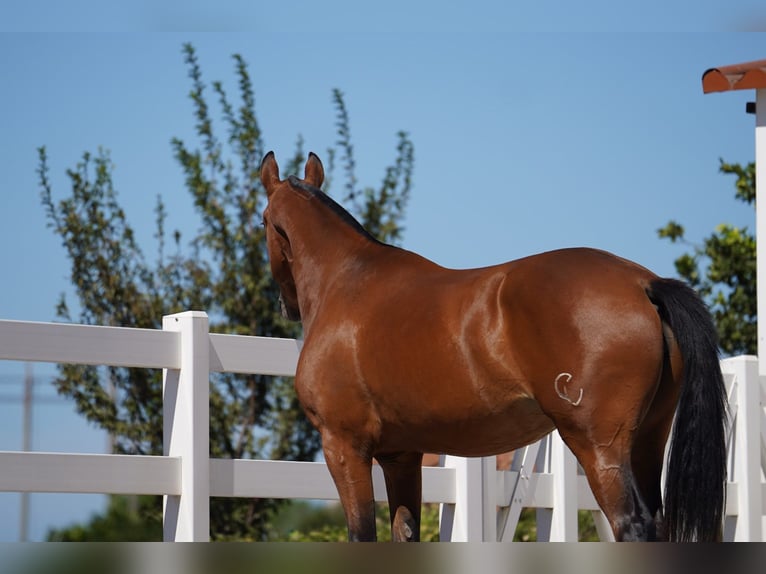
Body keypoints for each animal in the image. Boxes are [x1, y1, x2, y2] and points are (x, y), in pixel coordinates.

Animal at [260, 151, 728, 544]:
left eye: (262, 219)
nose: (286, 305)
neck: (347, 283)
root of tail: (643, 283)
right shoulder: (402, 455)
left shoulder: (344, 448)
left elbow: (362, 536)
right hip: (648, 439)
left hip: (599, 448)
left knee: (631, 526)